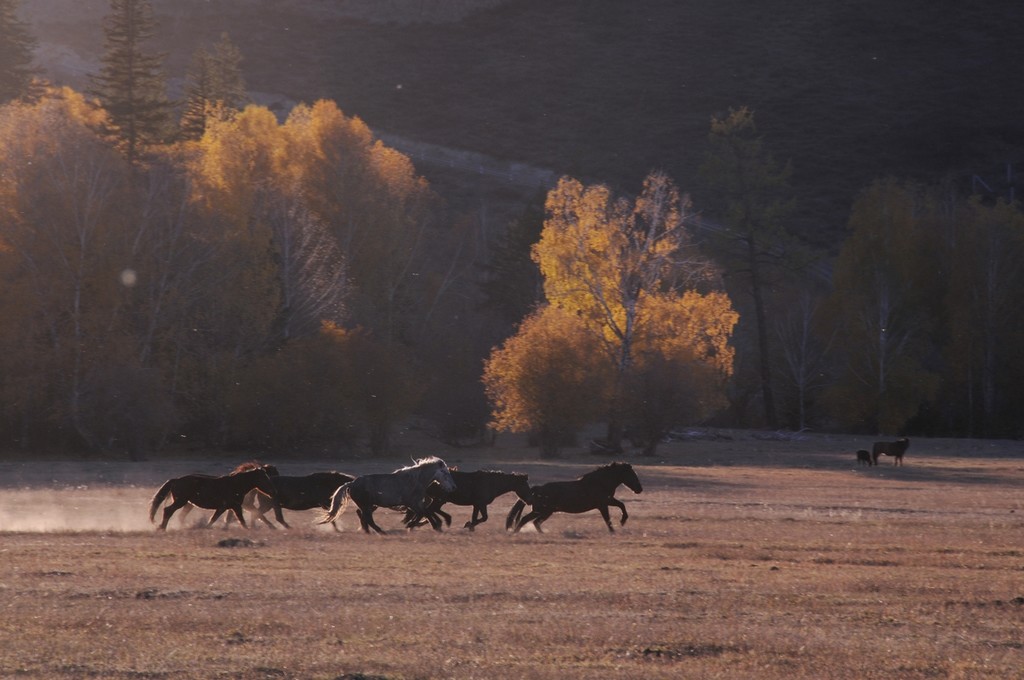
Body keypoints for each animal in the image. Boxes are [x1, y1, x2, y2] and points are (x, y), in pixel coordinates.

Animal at [147, 466, 276, 532]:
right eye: (264, 478)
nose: (273, 491)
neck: (235, 485)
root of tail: (176, 480)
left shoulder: (225, 507)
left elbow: (214, 519)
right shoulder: (235, 507)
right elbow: (242, 519)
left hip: (185, 502)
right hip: (180, 501)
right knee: (168, 510)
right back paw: (162, 528)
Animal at [315, 456, 452, 536]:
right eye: (445, 473)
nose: (453, 487)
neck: (415, 480)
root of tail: (351, 483)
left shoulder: (417, 503)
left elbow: (424, 513)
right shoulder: (412, 503)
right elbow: (424, 513)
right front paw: (434, 526)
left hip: (369, 505)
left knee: (364, 517)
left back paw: (369, 531)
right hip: (366, 505)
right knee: (367, 518)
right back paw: (380, 531)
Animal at [403, 466, 532, 532]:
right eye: (524, 485)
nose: (529, 500)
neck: (491, 483)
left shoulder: (477, 504)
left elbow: (478, 517)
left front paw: (470, 526)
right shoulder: (481, 503)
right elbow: (484, 518)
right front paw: (469, 525)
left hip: (436, 499)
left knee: (426, 510)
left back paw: (417, 524)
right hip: (439, 499)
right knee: (429, 510)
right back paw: (436, 523)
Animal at [507, 458, 643, 532]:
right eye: (631, 474)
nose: (639, 489)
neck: (599, 482)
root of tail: (537, 489)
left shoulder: (608, 501)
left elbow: (621, 505)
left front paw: (622, 522)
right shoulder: (603, 504)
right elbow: (608, 519)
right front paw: (616, 527)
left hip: (546, 512)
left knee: (536, 523)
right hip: (541, 511)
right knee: (526, 520)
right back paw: (515, 533)